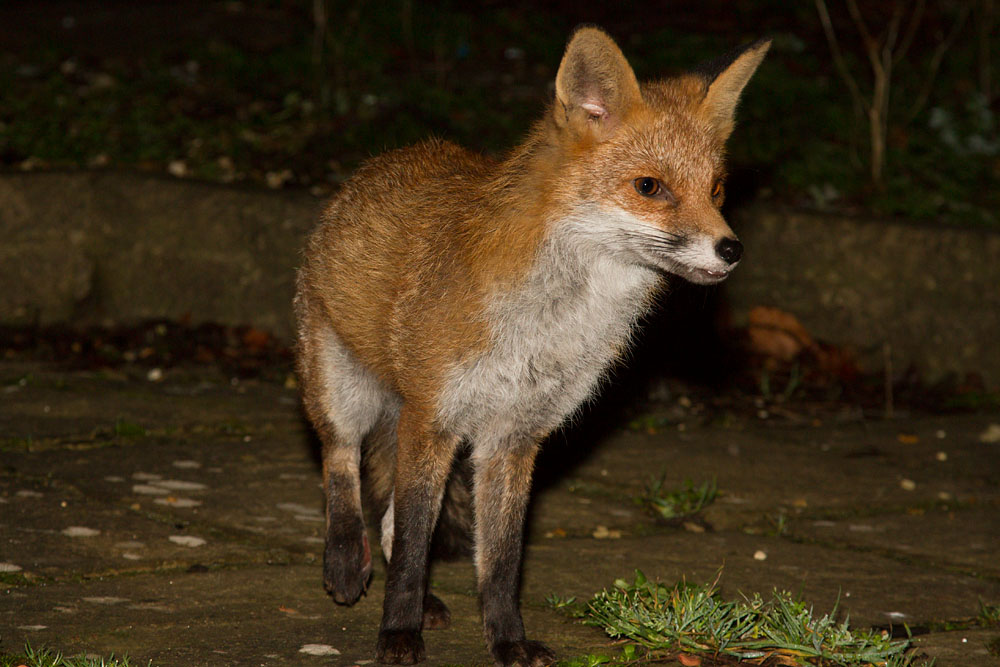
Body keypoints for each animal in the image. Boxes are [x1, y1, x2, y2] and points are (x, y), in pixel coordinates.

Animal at [294, 26, 769, 667]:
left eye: (717, 190)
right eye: (650, 187)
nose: (731, 249)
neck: (550, 327)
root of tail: (379, 164)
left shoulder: (515, 436)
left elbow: (501, 560)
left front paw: (507, 640)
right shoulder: (434, 417)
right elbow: (417, 543)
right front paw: (397, 634)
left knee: (388, 516)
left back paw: (425, 601)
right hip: (344, 389)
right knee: (341, 464)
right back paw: (346, 563)